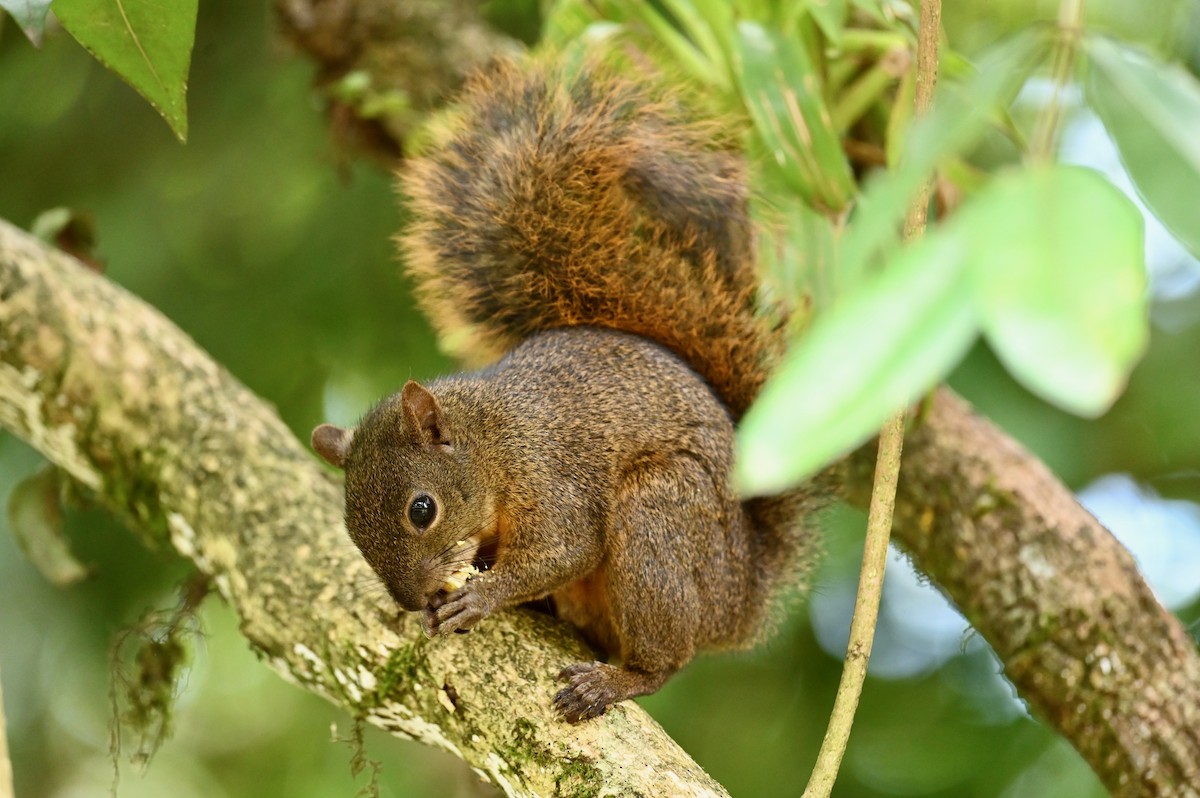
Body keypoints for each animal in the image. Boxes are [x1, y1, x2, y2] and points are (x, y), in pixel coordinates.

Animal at [311, 59, 826, 722]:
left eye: (422, 509)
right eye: (350, 526)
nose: (412, 598)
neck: (489, 440)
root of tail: (742, 602)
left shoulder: (548, 472)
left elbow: (567, 546)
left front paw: (484, 596)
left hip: (662, 519)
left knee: (665, 657)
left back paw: (616, 680)